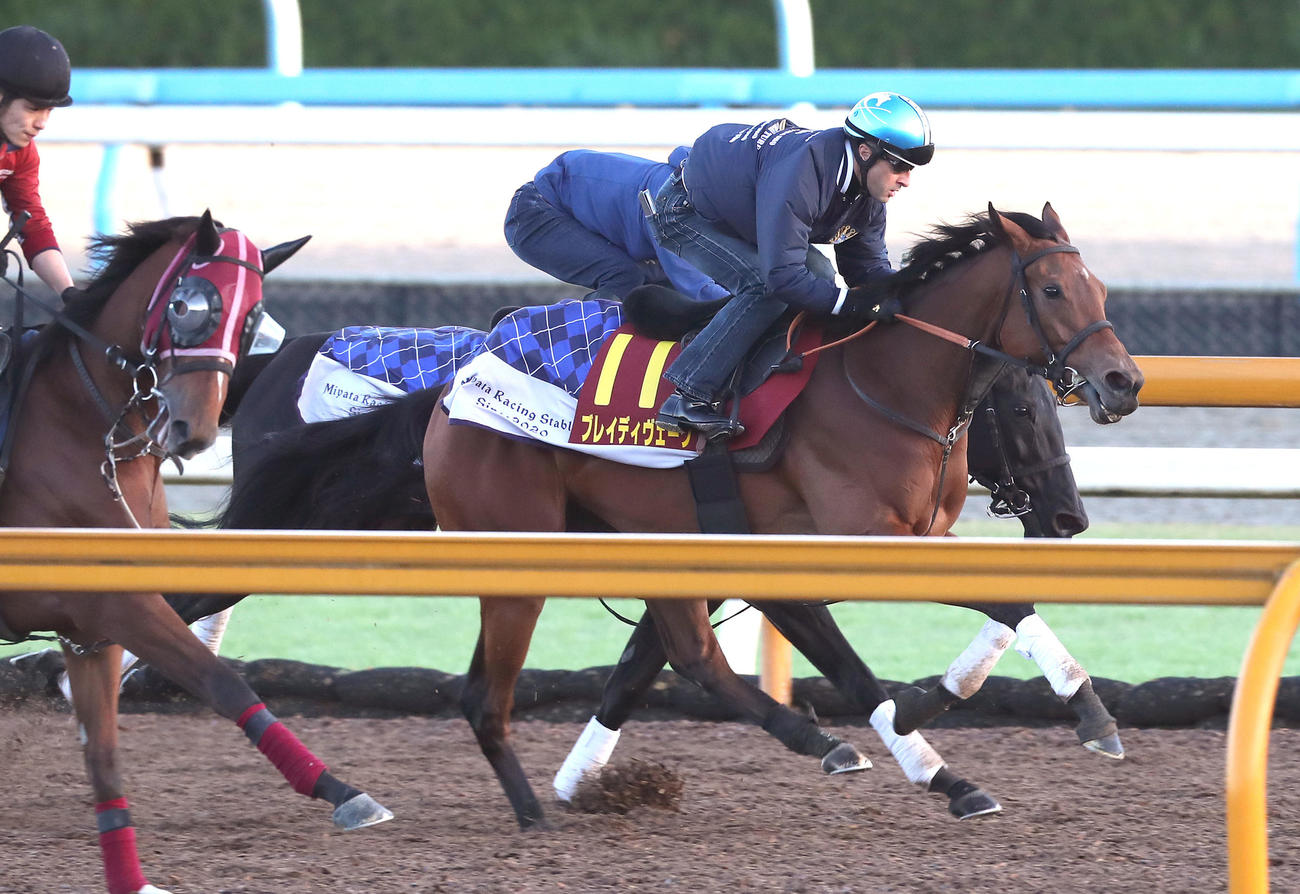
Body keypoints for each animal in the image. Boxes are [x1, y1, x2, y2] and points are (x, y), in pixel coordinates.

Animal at [0, 213, 392, 894]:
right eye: (188, 306)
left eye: (251, 318)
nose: (194, 429)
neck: (88, 437)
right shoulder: (115, 605)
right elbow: (210, 676)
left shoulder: (94, 624)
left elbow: (125, 738)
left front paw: (339, 789)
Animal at [414, 202, 1140, 828]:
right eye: (1052, 291)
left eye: (1100, 287)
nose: (1123, 382)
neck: (883, 383)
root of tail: (463, 375)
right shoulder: (829, 549)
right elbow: (861, 670)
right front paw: (950, 761)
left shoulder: (897, 540)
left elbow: (1008, 605)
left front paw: (1066, 713)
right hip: (517, 551)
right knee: (497, 692)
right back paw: (533, 811)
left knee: (687, 655)